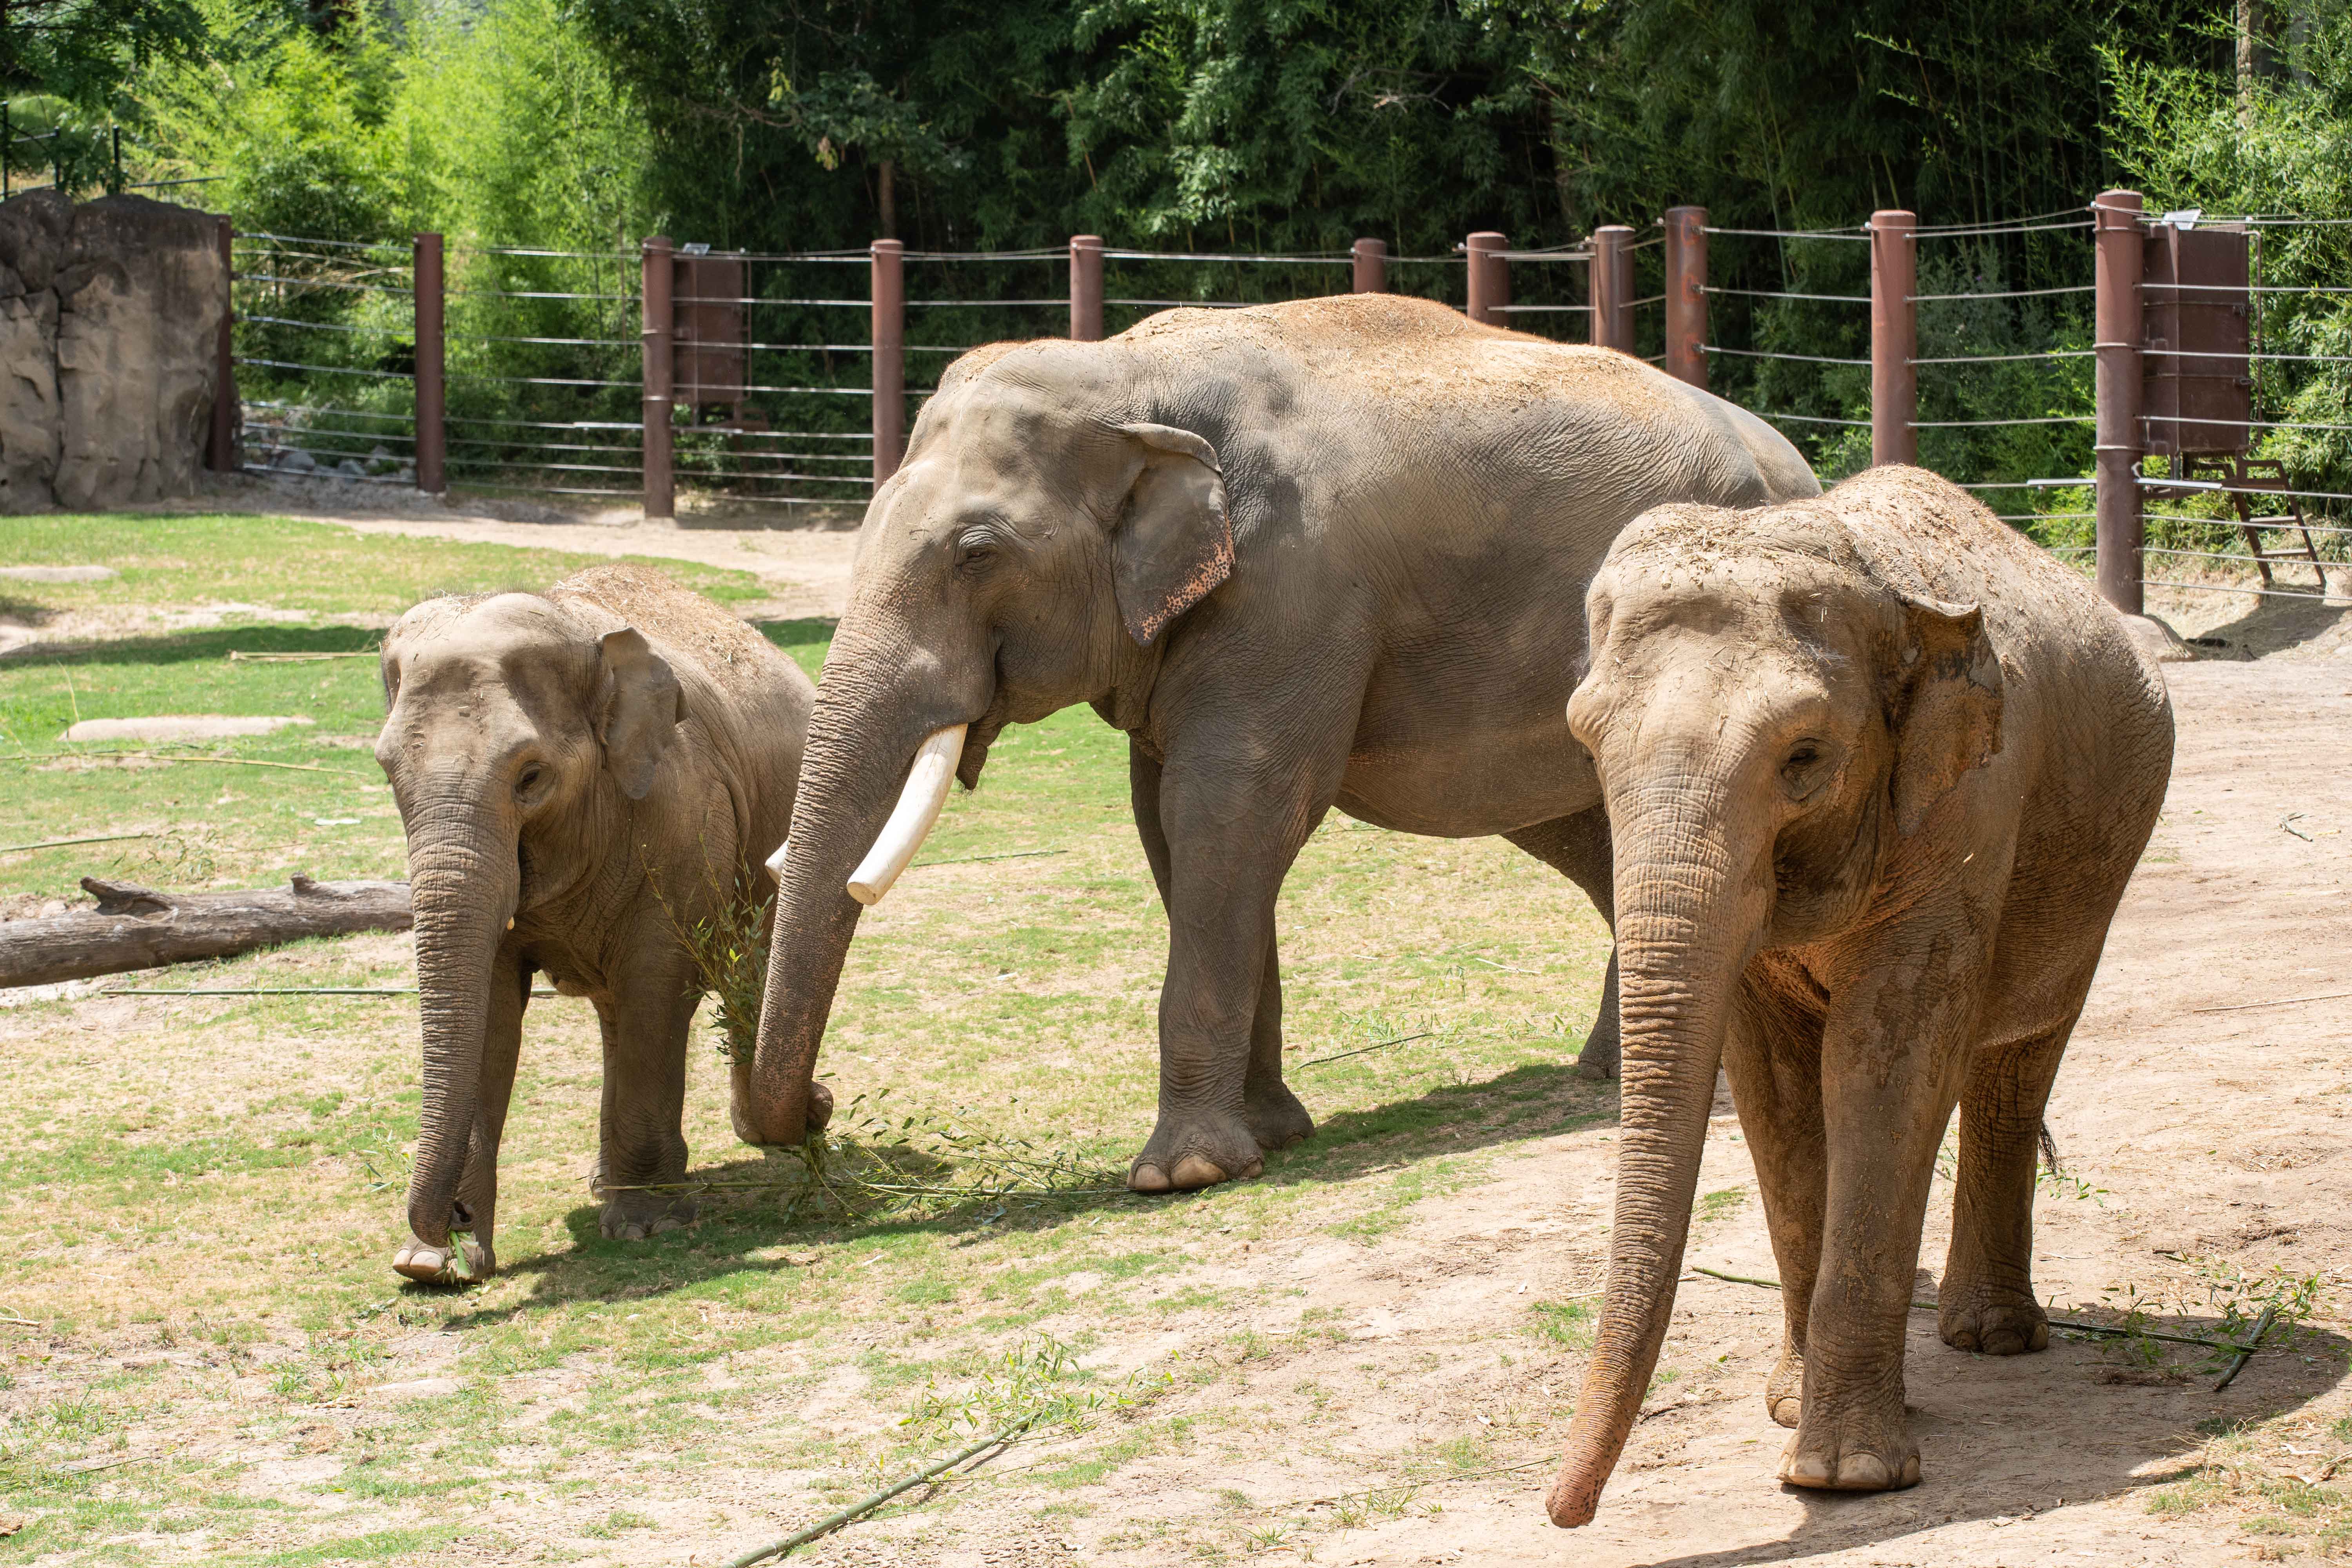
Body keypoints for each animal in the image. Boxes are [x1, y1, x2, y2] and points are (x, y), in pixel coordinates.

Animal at [367, 564, 809, 1288]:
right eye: (386, 771)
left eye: (531, 777)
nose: (453, 1218)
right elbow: (490, 1010)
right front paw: (435, 1267)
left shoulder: (685, 813)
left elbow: (656, 983)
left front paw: (646, 1228)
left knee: (748, 972)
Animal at [734, 294, 1816, 1194]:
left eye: (976, 553)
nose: (822, 1108)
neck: (1130, 377)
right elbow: (1170, 831)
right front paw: (1272, 1134)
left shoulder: (1292, 595)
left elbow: (1231, 814)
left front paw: (1183, 1175)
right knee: (1583, 831)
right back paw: (1609, 1069)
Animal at [1543, 463, 2164, 1523]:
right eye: (1587, 741)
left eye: (1804, 758)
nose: (1561, 1509)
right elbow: (1775, 1084)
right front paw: (1793, 1412)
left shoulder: (1968, 806)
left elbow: (1884, 1060)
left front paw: (1845, 1477)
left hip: (2097, 862)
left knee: (2017, 1056)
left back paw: (1992, 1339)